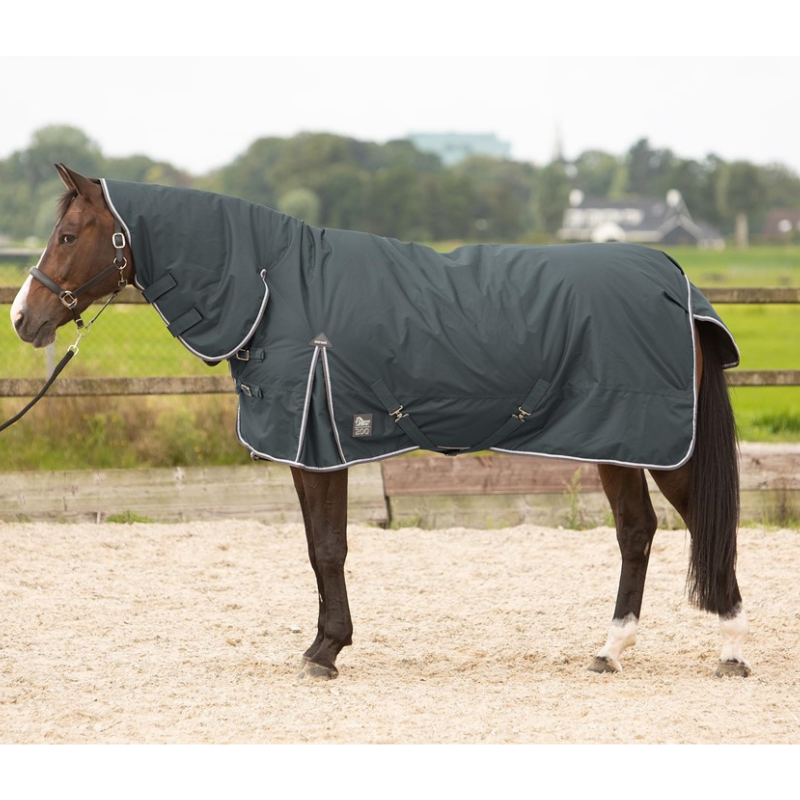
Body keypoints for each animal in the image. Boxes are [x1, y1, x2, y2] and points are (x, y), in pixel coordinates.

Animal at [10, 164, 750, 679]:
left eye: (67, 236)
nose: (22, 318)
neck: (275, 288)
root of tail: (676, 279)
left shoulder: (319, 445)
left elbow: (328, 549)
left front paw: (325, 651)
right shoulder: (315, 449)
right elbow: (319, 547)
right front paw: (323, 644)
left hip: (660, 444)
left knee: (706, 527)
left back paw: (730, 650)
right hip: (615, 439)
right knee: (637, 532)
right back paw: (610, 650)